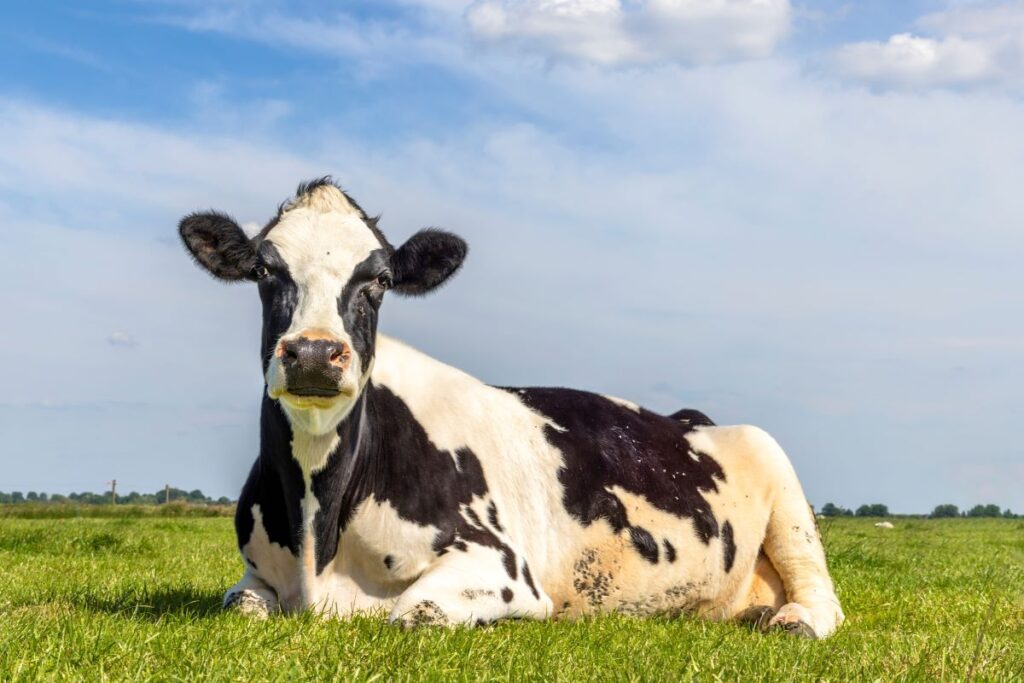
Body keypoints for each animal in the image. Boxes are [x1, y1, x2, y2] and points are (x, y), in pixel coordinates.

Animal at [178, 178, 845, 638]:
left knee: (821, 593)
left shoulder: (501, 567)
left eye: (380, 280)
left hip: (780, 479)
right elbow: (239, 606)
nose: (315, 352)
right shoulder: (253, 576)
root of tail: (690, 418)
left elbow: (412, 611)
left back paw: (794, 621)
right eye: (264, 270)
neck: (319, 534)